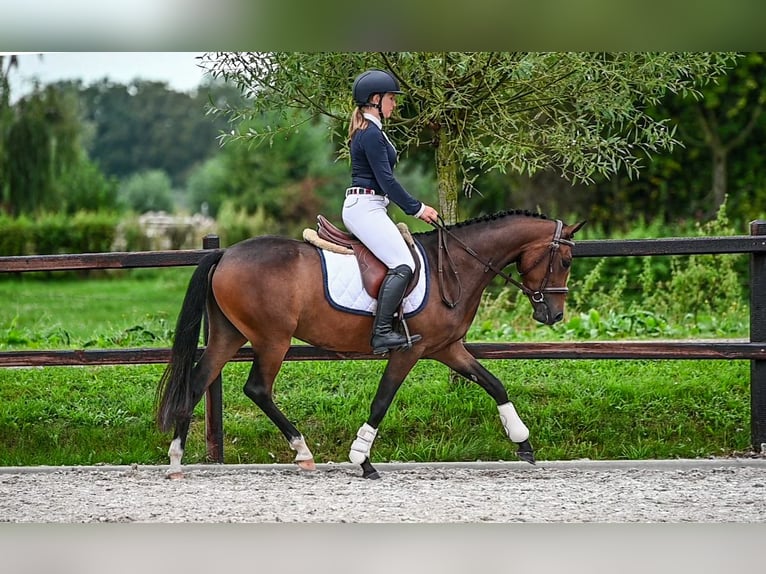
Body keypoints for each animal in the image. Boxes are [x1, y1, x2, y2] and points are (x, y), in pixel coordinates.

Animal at [158, 212, 588, 482]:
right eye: (566, 260)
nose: (553, 315)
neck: (455, 266)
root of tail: (225, 253)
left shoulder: (448, 348)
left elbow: (494, 384)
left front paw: (524, 444)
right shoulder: (409, 351)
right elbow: (382, 399)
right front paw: (362, 460)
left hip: (229, 335)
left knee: (197, 383)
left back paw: (177, 459)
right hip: (271, 339)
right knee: (258, 389)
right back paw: (303, 452)